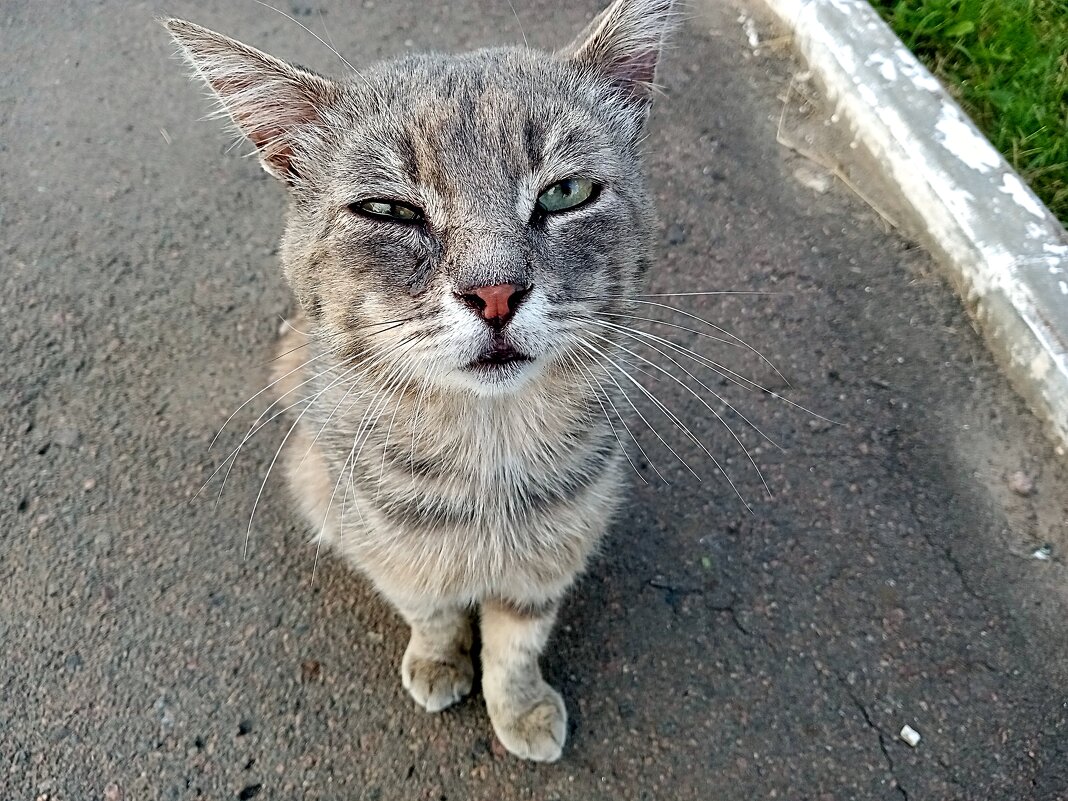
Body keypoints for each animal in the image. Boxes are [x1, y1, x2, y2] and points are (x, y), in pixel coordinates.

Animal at [166, 0, 674, 760]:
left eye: (566, 192)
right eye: (389, 211)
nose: (495, 293)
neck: (489, 453)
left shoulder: (551, 556)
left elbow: (516, 646)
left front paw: (517, 704)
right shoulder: (393, 549)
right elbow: (431, 612)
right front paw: (439, 660)